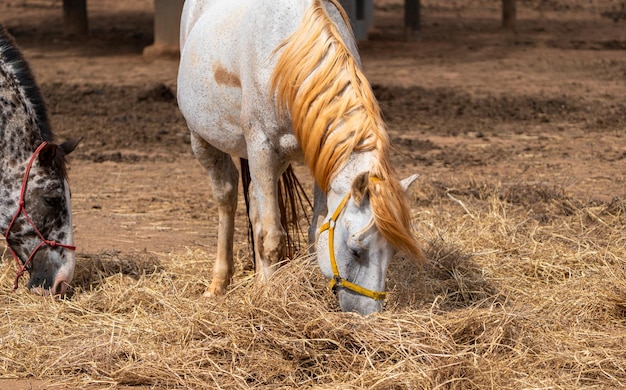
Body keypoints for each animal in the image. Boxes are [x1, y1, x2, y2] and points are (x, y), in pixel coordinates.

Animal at [176, 0, 424, 314]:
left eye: (392, 251)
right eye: (356, 250)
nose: (367, 315)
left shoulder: (320, 158)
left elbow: (312, 230)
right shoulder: (261, 149)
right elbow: (272, 236)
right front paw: (269, 298)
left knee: (254, 204)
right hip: (203, 140)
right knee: (227, 198)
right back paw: (219, 283)